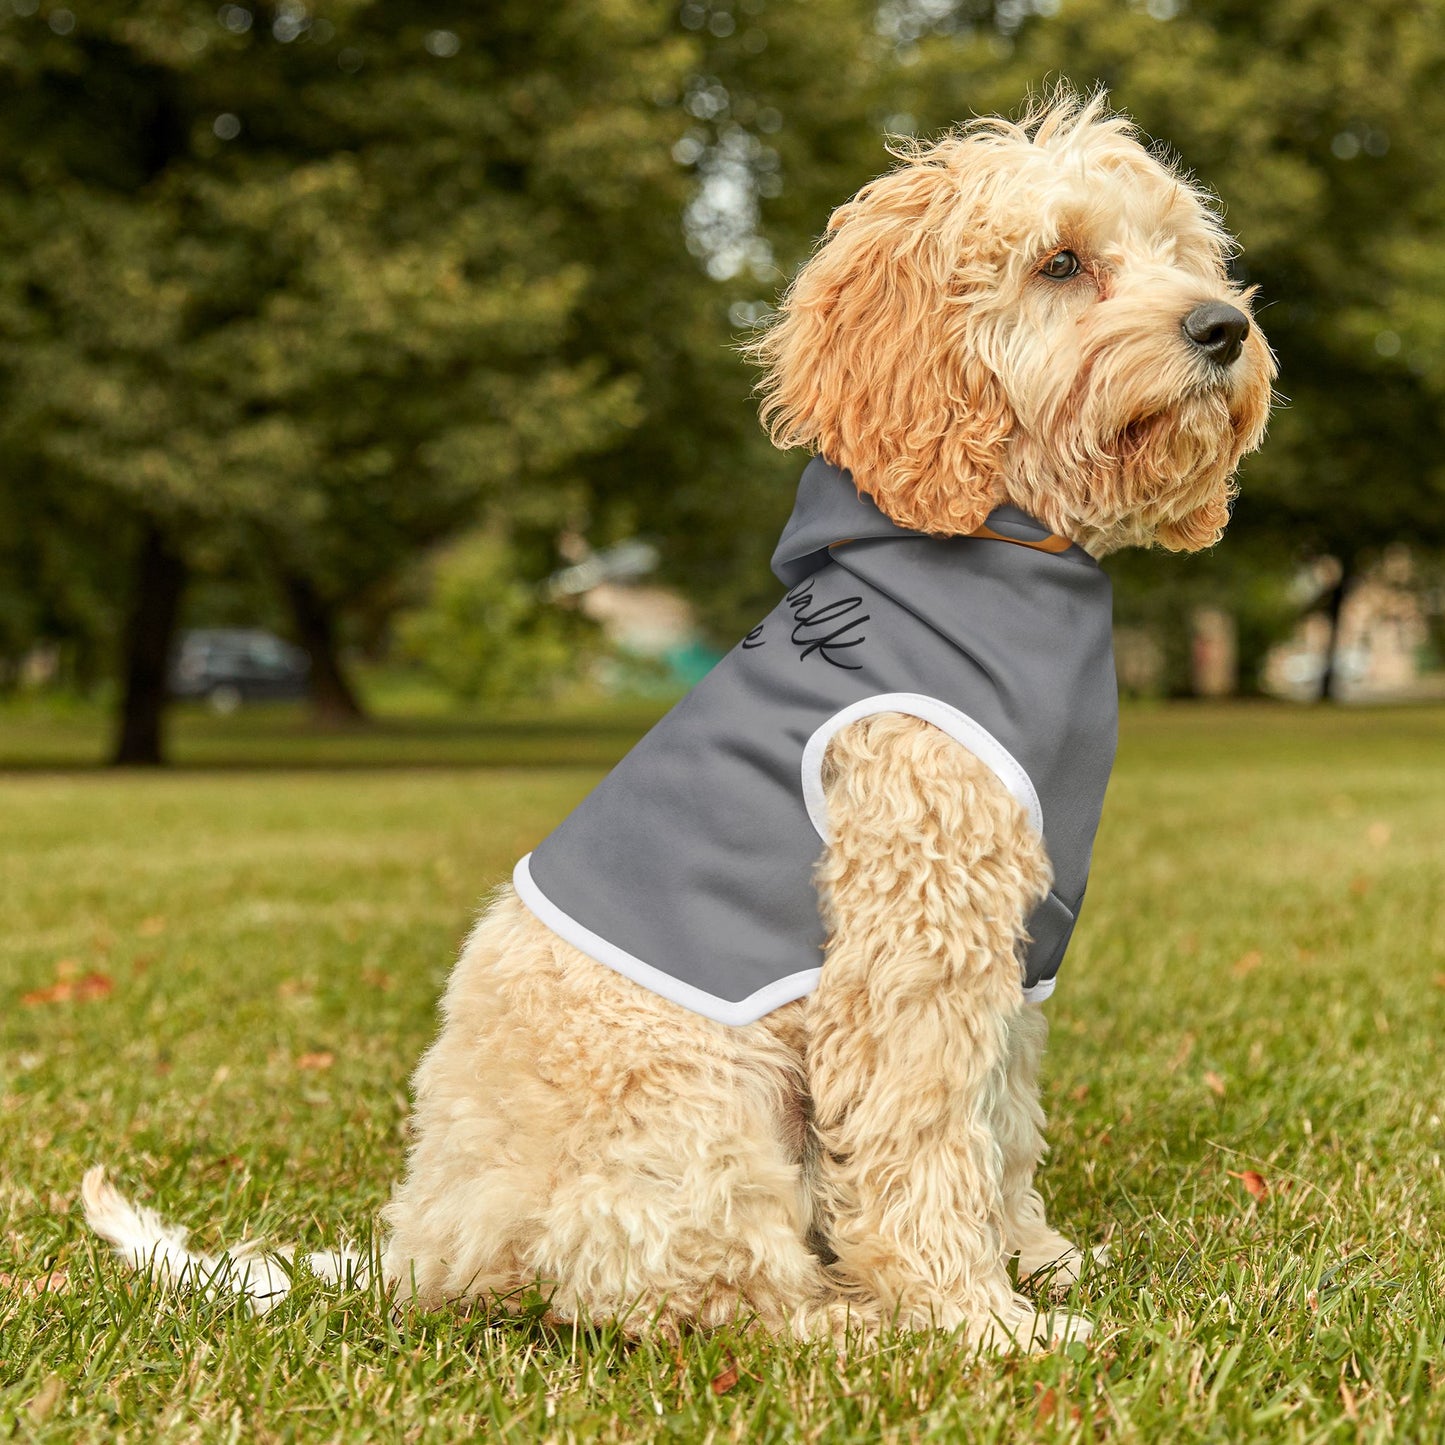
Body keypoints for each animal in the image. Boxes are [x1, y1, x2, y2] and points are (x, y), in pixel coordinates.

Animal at [82, 93, 1277, 1352]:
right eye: (1060, 262)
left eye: (1180, 252)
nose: (1222, 327)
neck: (994, 544)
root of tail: (424, 1248)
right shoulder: (912, 937)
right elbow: (923, 1138)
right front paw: (975, 1318)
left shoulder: (1012, 945)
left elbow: (999, 1122)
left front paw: (1036, 1260)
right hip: (703, 1104)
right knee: (707, 1292)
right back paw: (854, 1321)